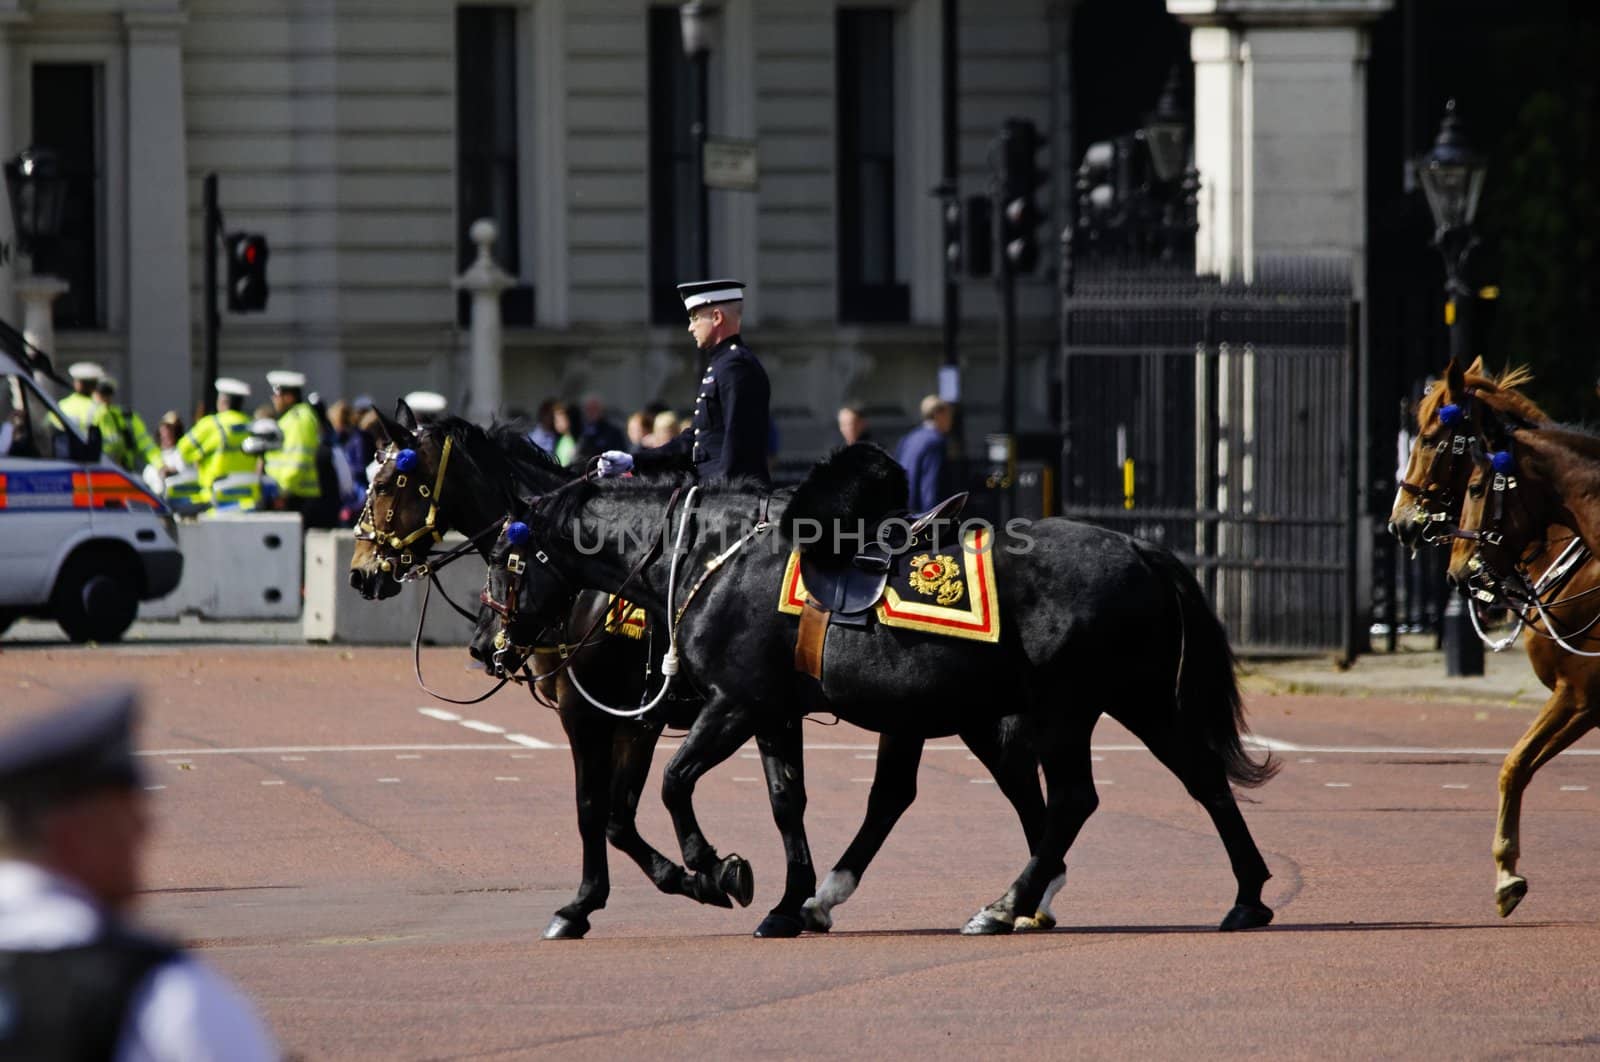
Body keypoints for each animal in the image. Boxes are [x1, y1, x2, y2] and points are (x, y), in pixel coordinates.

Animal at [480, 451, 1280, 934]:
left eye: (506, 557)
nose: (489, 647)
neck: (714, 557)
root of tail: (1140, 547)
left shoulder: (734, 702)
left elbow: (674, 785)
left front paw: (713, 871)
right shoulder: (772, 711)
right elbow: (785, 799)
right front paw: (787, 901)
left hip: (1067, 707)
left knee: (1075, 800)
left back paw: (1006, 904)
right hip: (1126, 701)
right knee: (1197, 778)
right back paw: (1245, 896)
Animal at [1388, 361, 1600, 914]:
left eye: (1431, 438)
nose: (1400, 523)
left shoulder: (1580, 692)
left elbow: (1513, 763)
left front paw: (1506, 870)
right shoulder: (1584, 700)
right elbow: (1516, 766)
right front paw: (1507, 872)